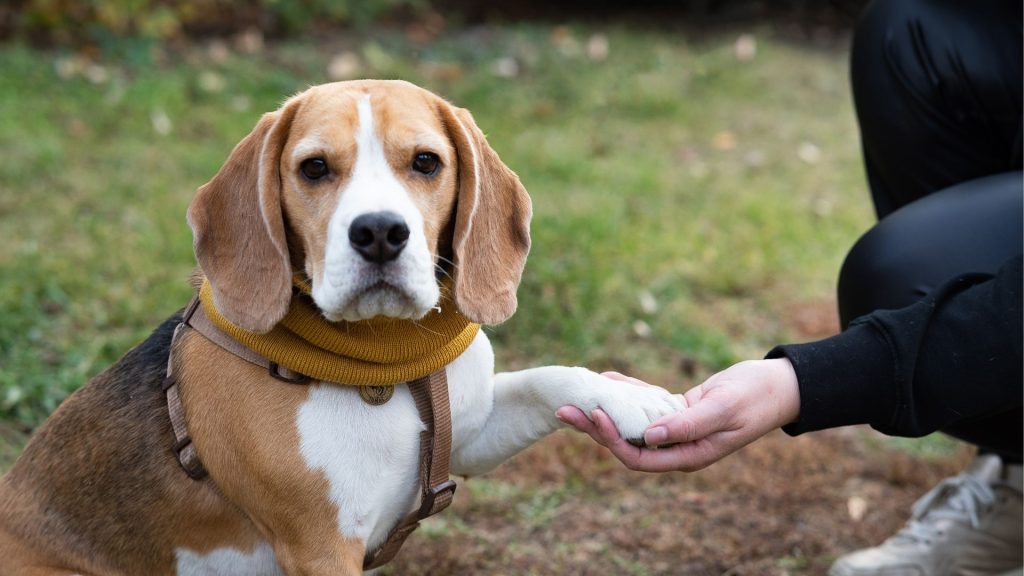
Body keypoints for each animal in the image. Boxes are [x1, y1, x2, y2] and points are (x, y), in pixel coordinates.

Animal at [2, 80, 688, 573]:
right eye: (313, 169)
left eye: (426, 162)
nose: (379, 231)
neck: (389, 360)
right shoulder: (321, 549)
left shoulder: (468, 437)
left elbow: (549, 377)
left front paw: (629, 399)